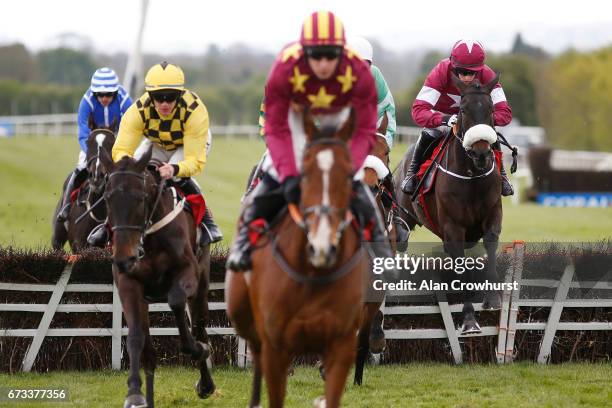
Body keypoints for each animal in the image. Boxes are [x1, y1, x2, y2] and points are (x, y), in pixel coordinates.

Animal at [98, 147, 215, 408]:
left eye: (141, 198)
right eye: (108, 198)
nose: (124, 257)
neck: (149, 238)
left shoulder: (188, 273)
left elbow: (177, 302)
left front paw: (198, 349)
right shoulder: (128, 282)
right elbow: (135, 337)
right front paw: (134, 393)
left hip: (201, 282)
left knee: (200, 326)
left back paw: (206, 382)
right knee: (149, 353)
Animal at [226, 108, 366, 408]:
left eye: (349, 174)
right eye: (305, 173)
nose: (322, 247)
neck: (312, 274)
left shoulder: (341, 345)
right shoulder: (276, 346)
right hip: (243, 315)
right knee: (254, 351)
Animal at [394, 73, 504, 334]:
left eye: (491, 109)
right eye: (462, 109)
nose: (481, 153)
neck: (472, 177)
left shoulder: (493, 215)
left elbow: (490, 247)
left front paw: (492, 298)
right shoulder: (453, 228)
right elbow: (461, 270)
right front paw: (469, 320)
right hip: (403, 217)